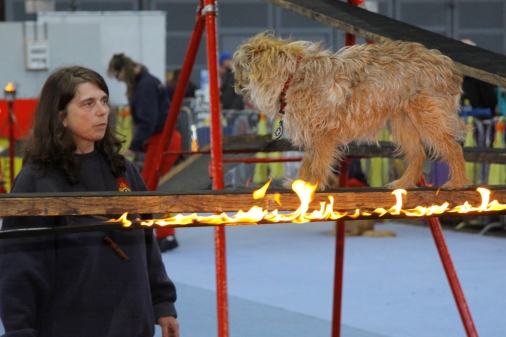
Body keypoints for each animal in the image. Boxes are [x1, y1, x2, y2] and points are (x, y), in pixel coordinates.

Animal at [233, 31, 470, 190]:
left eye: (237, 68)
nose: (234, 86)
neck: (293, 76)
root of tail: (449, 67)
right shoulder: (314, 134)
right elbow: (308, 162)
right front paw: (302, 183)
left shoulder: (323, 134)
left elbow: (316, 163)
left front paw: (311, 185)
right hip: (403, 122)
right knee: (417, 154)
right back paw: (404, 183)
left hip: (428, 117)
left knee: (452, 147)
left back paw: (457, 182)